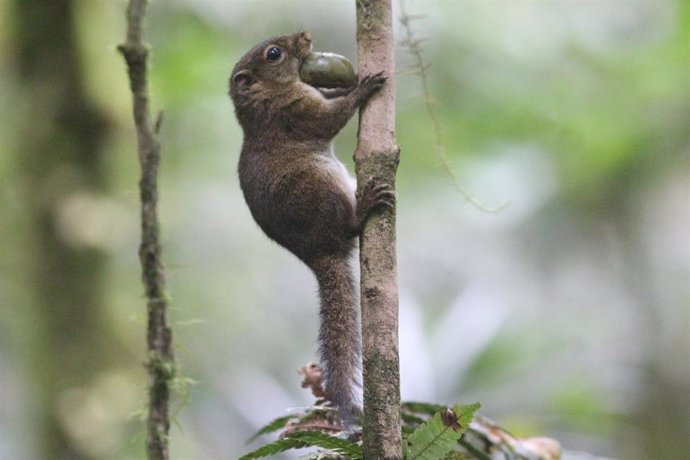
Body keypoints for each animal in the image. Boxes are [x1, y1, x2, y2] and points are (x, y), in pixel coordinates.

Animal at [230, 33, 392, 428]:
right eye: (273, 54)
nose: (305, 37)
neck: (267, 96)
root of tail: (317, 252)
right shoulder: (294, 111)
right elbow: (328, 119)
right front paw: (362, 88)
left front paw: (347, 83)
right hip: (321, 189)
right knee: (349, 226)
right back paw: (364, 207)